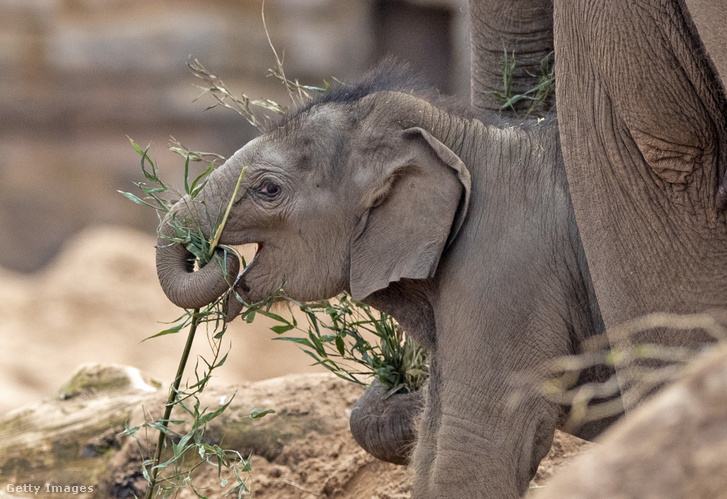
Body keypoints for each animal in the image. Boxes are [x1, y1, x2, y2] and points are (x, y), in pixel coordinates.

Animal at [156, 64, 612, 498]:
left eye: (268, 188)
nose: (213, 252)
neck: (465, 136)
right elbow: (432, 438)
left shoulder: (508, 276)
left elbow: (476, 443)